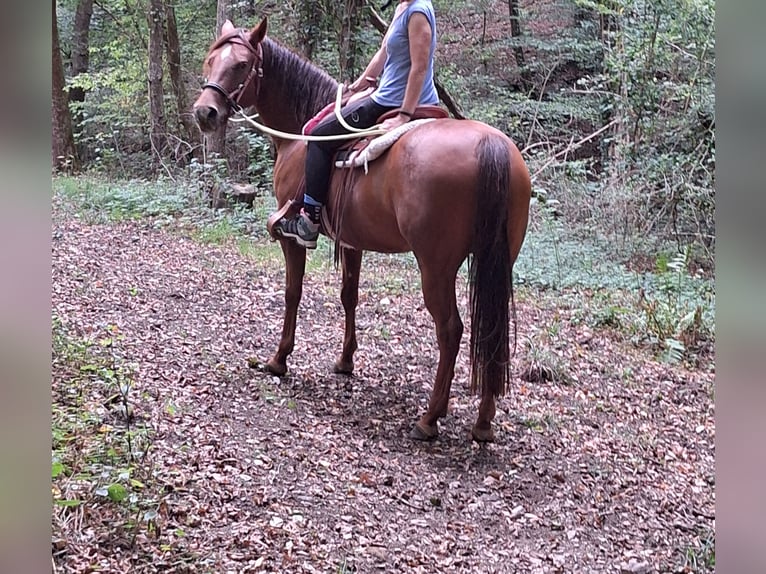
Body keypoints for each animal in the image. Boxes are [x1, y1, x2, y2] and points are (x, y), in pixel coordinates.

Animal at [192, 18, 531, 442]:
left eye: (240, 65)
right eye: (210, 60)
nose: (205, 112)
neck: (299, 135)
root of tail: (491, 145)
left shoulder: (291, 240)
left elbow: (292, 293)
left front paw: (279, 358)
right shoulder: (353, 241)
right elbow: (349, 296)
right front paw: (345, 361)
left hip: (436, 266)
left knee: (451, 330)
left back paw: (429, 418)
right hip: (496, 262)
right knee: (491, 329)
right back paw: (483, 422)